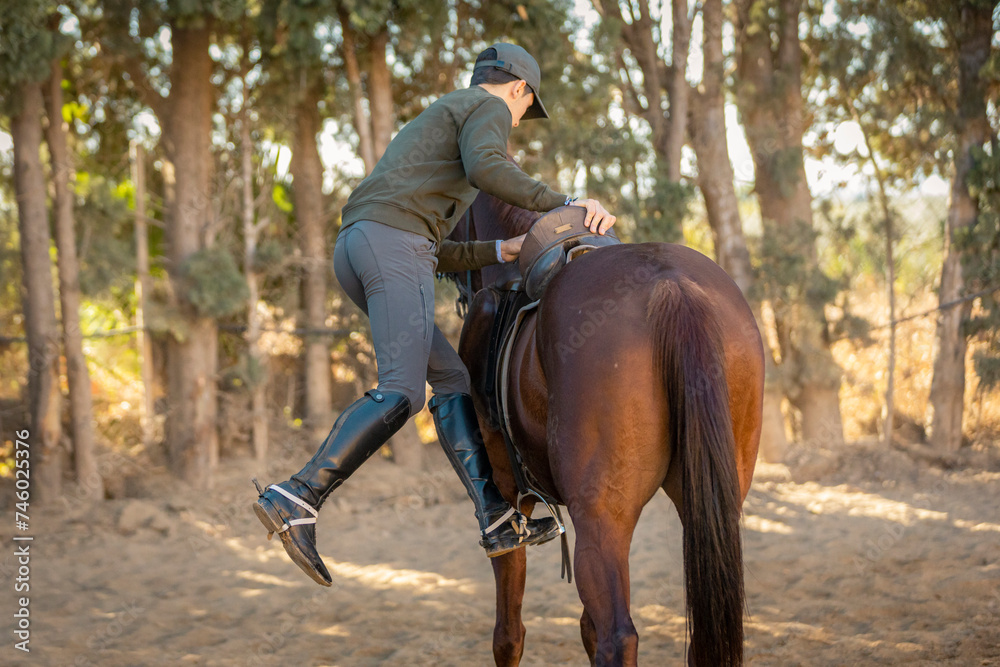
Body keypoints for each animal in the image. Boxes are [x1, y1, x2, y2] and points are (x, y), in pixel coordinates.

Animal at [446, 189, 764, 666]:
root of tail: (673, 286)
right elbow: (585, 628)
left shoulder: (509, 496)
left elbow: (509, 633)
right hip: (709, 502)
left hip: (602, 518)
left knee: (619, 637)